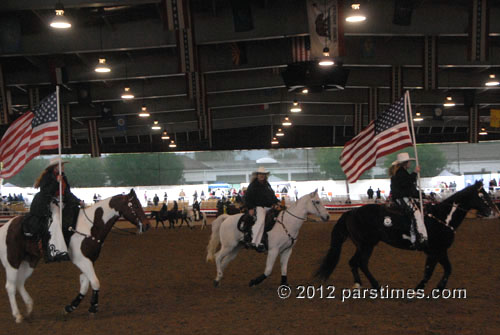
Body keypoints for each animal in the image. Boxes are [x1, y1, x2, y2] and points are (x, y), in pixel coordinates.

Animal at [0, 190, 148, 324]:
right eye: (135, 205)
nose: (147, 225)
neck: (90, 226)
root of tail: (5, 227)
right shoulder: (82, 261)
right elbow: (95, 282)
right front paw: (93, 308)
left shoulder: (90, 261)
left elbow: (85, 284)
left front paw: (70, 307)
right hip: (12, 262)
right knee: (10, 286)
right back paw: (18, 315)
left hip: (30, 261)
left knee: (20, 283)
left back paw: (29, 309)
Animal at [316, 182, 496, 292]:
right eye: (482, 196)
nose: (494, 210)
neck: (442, 217)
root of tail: (351, 212)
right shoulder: (434, 251)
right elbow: (429, 272)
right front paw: (418, 290)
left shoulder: (440, 251)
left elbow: (447, 269)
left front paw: (437, 290)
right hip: (366, 245)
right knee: (360, 263)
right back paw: (374, 285)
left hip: (363, 245)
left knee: (355, 262)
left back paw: (362, 285)